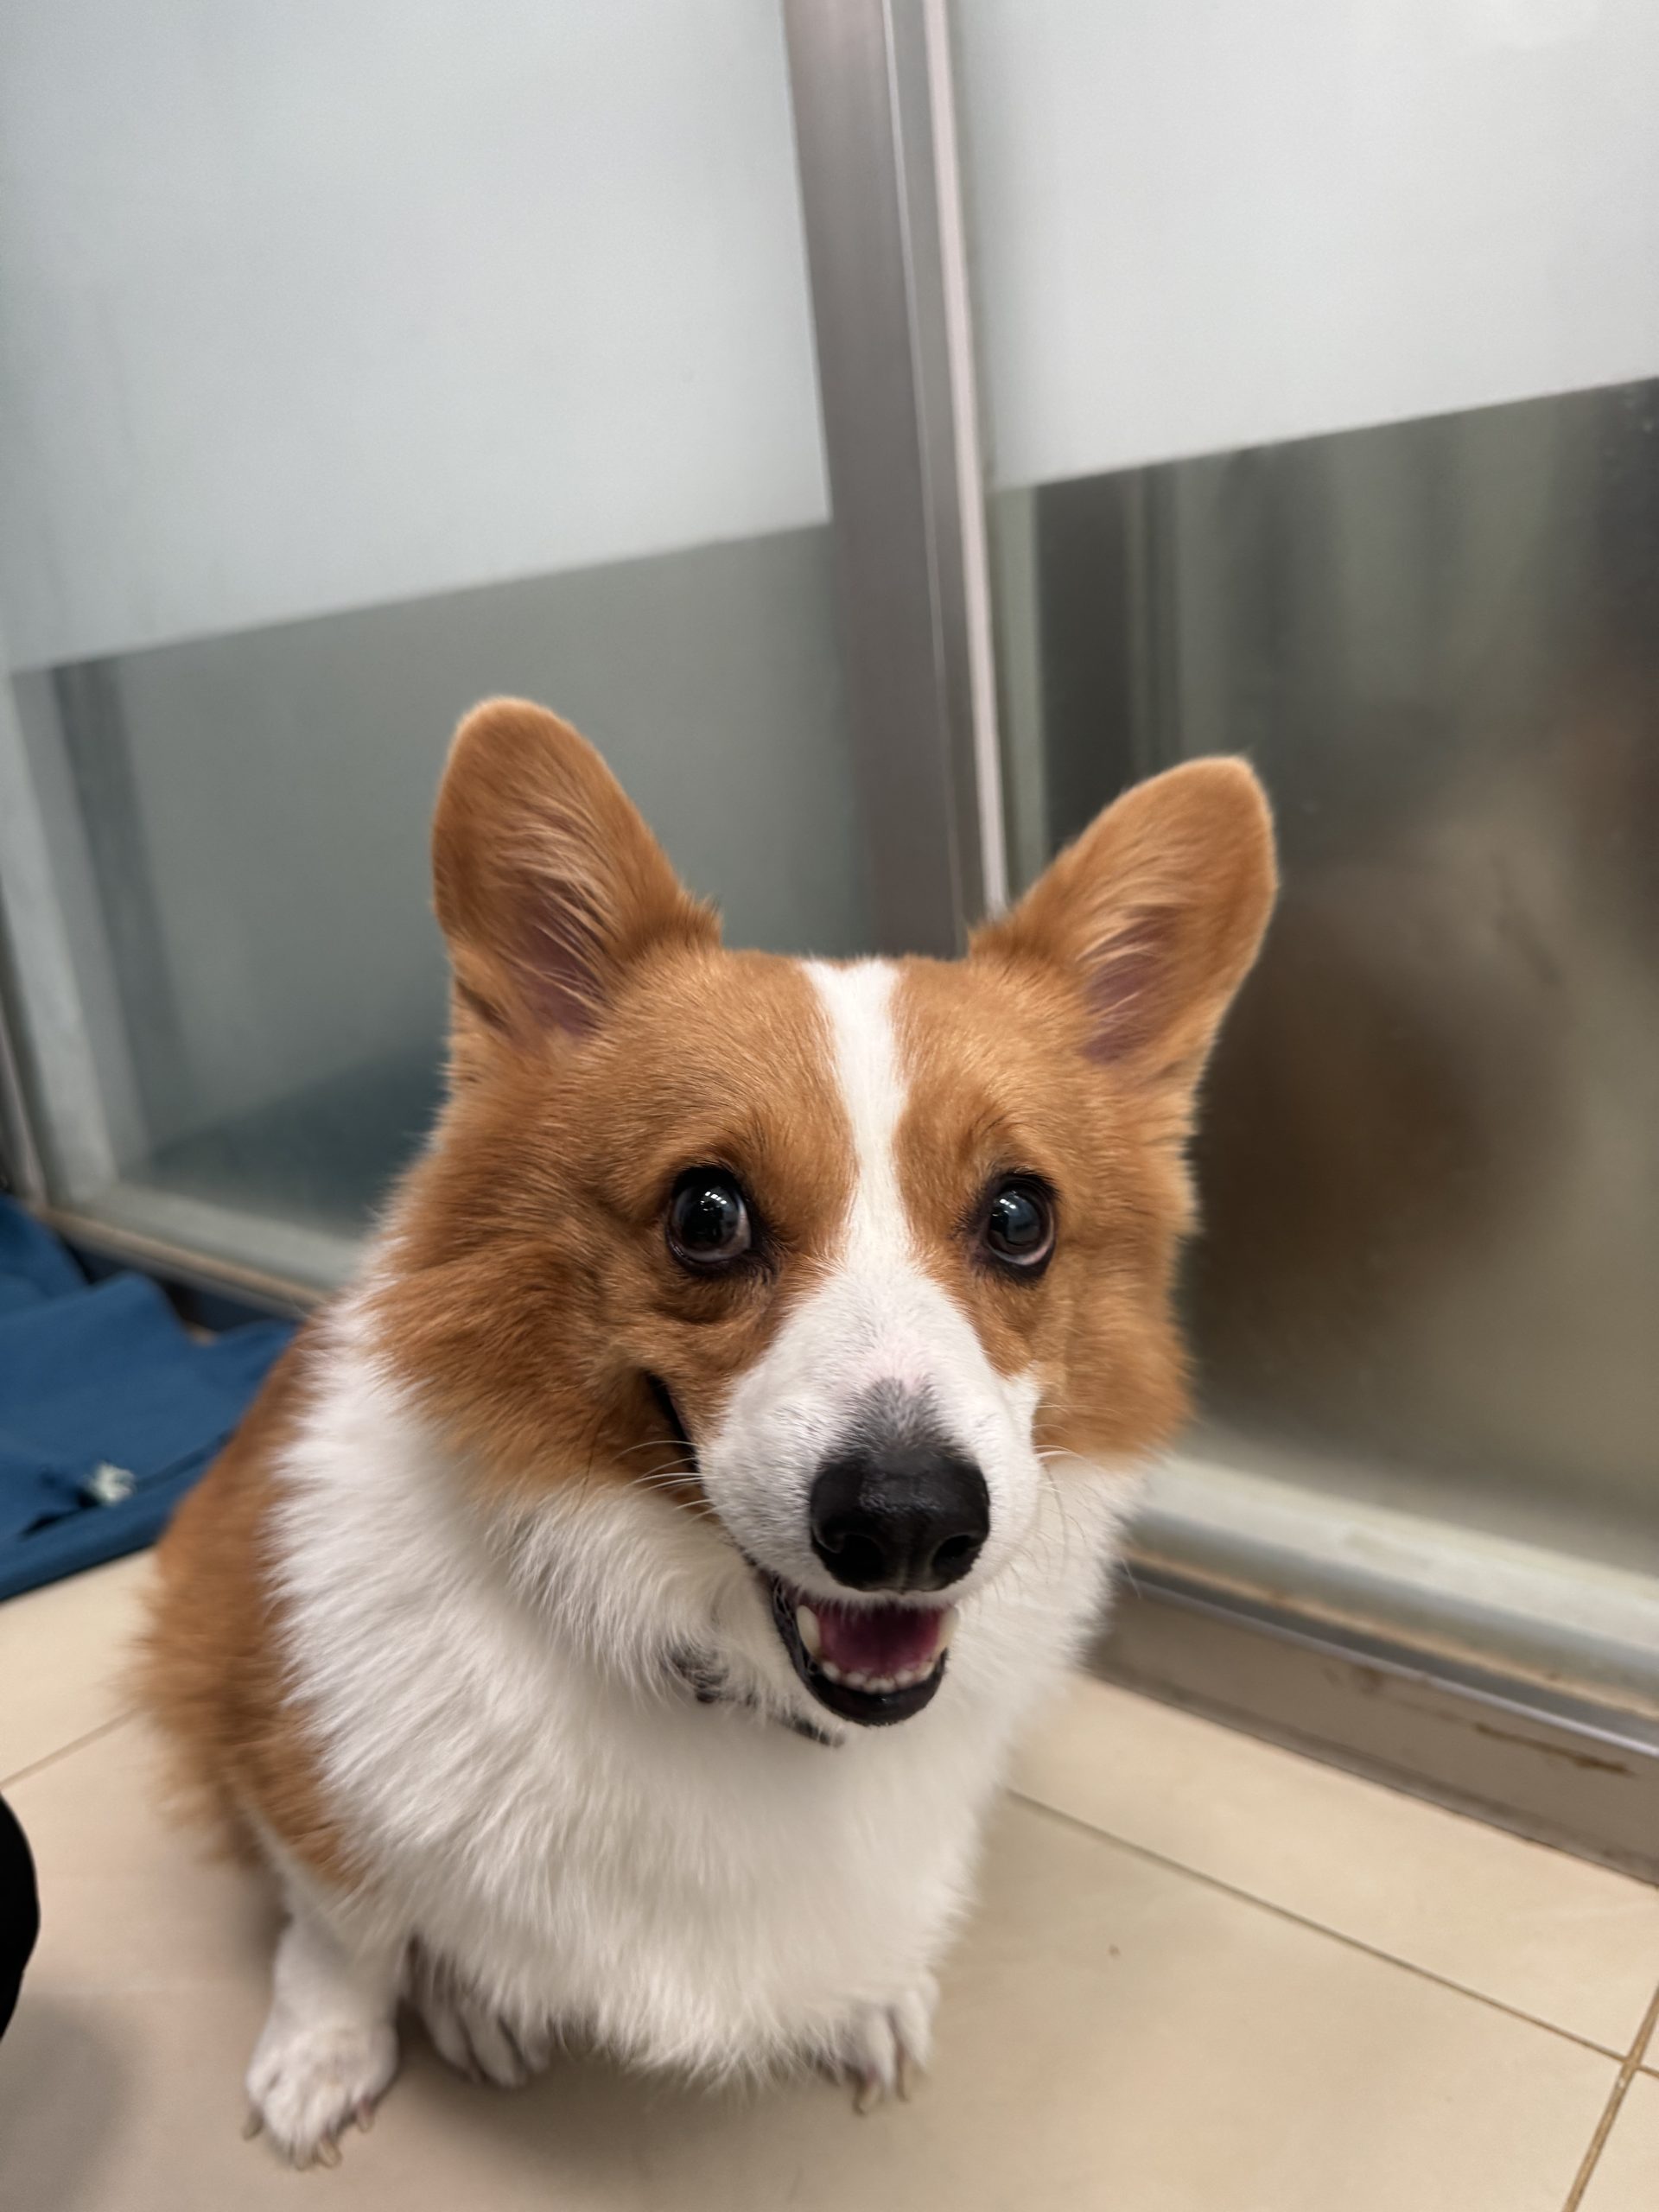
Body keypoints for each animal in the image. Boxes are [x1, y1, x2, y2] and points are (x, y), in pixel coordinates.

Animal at [140, 698, 1275, 2165]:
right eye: (706, 1213)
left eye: (1020, 1217)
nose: (910, 1525)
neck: (714, 1661)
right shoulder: (285, 1732)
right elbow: (342, 1928)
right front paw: (326, 2050)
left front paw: (871, 1989)